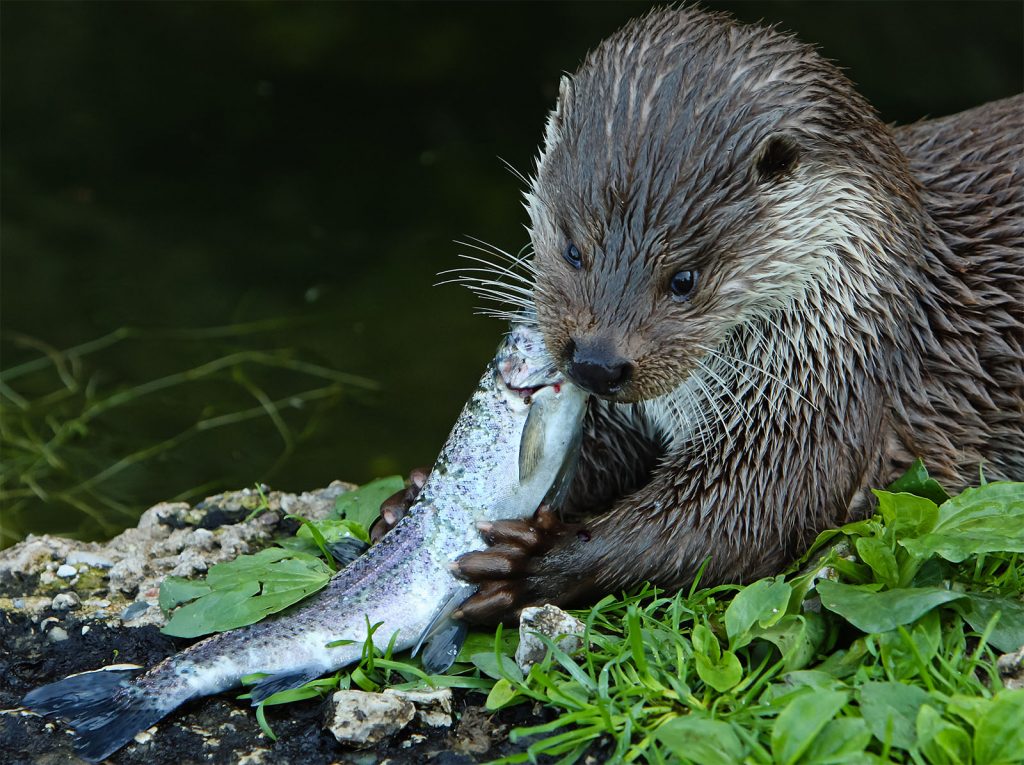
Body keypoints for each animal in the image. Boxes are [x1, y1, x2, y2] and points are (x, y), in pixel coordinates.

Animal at [376, 4, 1024, 622]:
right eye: (573, 250)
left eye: (684, 279)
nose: (596, 363)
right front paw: (409, 503)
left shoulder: (833, 390)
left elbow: (742, 514)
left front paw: (538, 560)